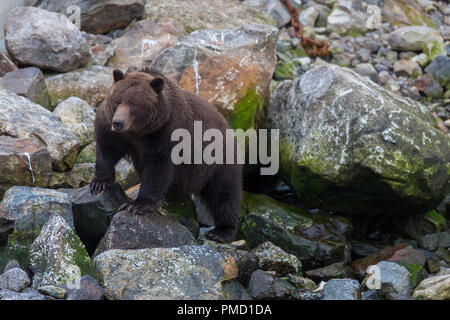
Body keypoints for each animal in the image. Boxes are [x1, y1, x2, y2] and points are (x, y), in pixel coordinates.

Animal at [90, 68, 243, 242]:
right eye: (117, 100)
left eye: (134, 104)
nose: (118, 123)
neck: (138, 133)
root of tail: (228, 126)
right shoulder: (113, 130)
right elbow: (107, 149)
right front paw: (100, 183)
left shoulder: (166, 134)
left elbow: (157, 170)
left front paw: (135, 205)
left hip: (218, 161)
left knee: (224, 194)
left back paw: (221, 232)